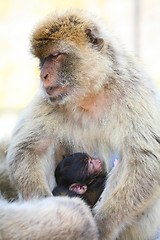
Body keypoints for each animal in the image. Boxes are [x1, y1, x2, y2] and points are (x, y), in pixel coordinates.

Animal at [6, 8, 160, 238]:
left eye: (55, 56)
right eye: (43, 59)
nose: (43, 75)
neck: (91, 91)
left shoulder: (134, 89)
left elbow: (146, 160)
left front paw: (103, 225)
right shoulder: (49, 97)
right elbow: (28, 150)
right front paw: (50, 205)